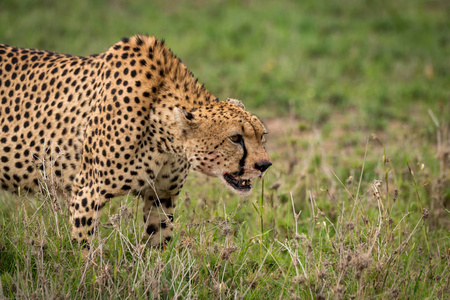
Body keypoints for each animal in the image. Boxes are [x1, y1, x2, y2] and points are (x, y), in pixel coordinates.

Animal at [0, 35, 270, 246]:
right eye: (235, 138)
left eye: (262, 135)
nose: (264, 165)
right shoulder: (86, 192)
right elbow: (85, 255)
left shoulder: (161, 194)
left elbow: (158, 243)